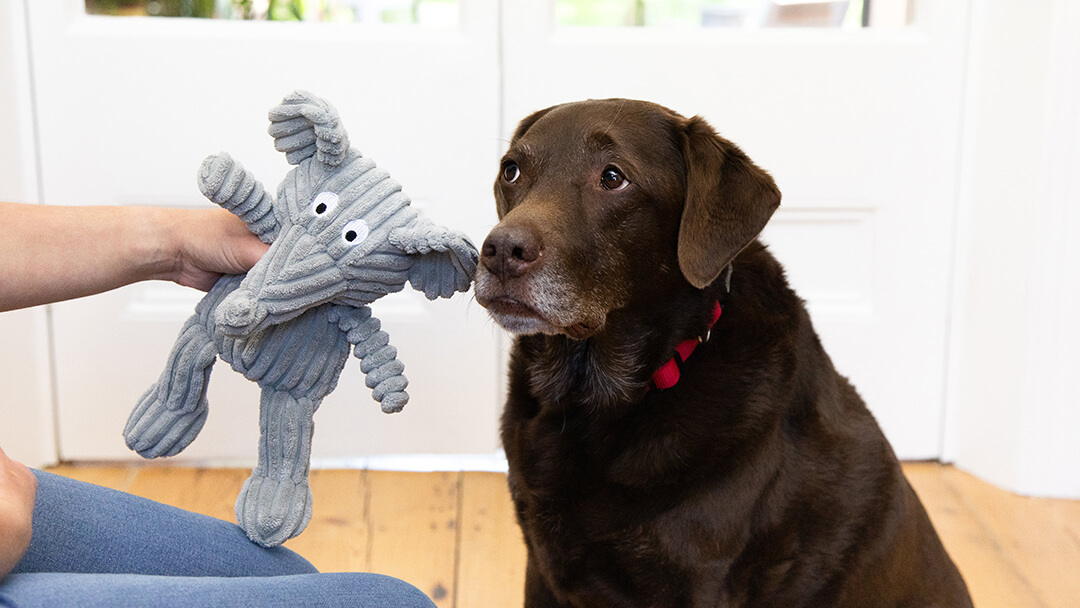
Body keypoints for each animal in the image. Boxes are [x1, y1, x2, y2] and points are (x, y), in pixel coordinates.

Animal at [475, 97, 972, 604]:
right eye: (511, 171)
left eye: (613, 177)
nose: (500, 250)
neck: (590, 401)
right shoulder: (542, 565)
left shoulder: (700, 580)